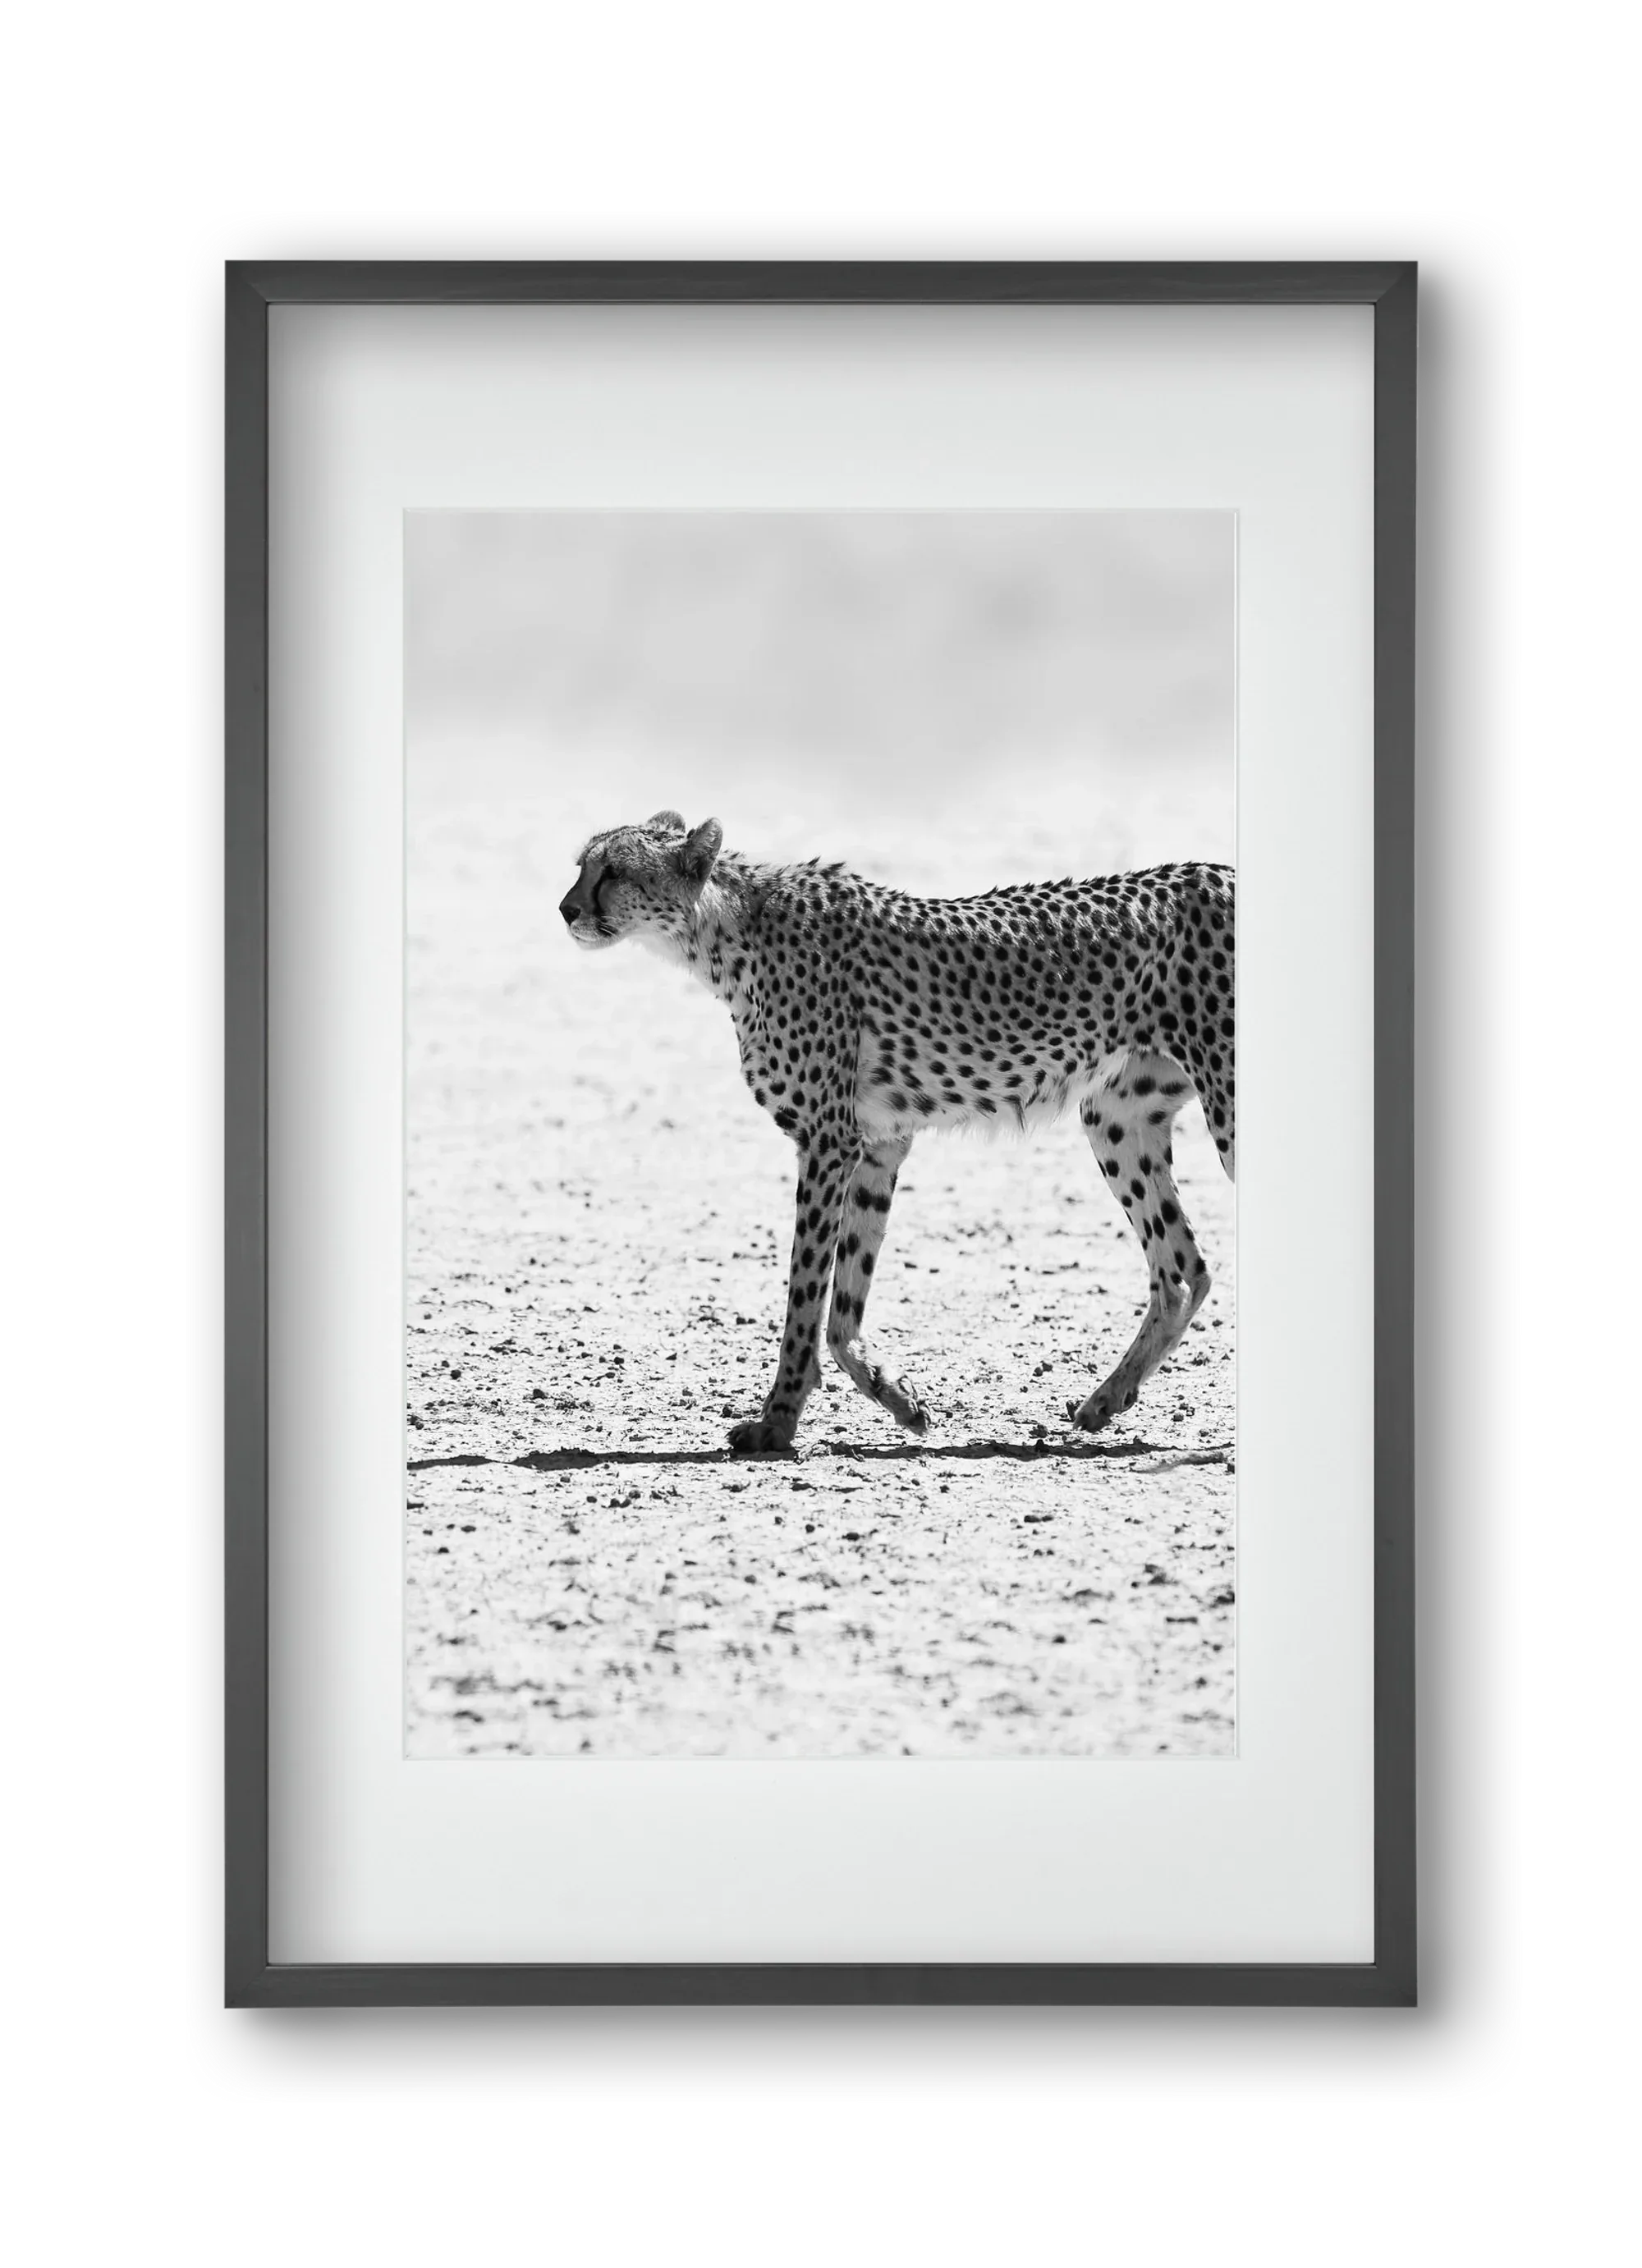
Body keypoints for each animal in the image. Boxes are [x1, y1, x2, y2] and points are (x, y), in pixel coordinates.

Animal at [560, 811, 1234, 1455]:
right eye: (581, 865)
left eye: (614, 871)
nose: (566, 909)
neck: (723, 931)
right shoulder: (878, 1144)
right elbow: (842, 1306)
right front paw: (899, 1399)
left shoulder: (827, 1141)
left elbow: (805, 1295)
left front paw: (777, 1422)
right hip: (1117, 1118)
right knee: (1182, 1270)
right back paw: (1105, 1400)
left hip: (1223, 1105)